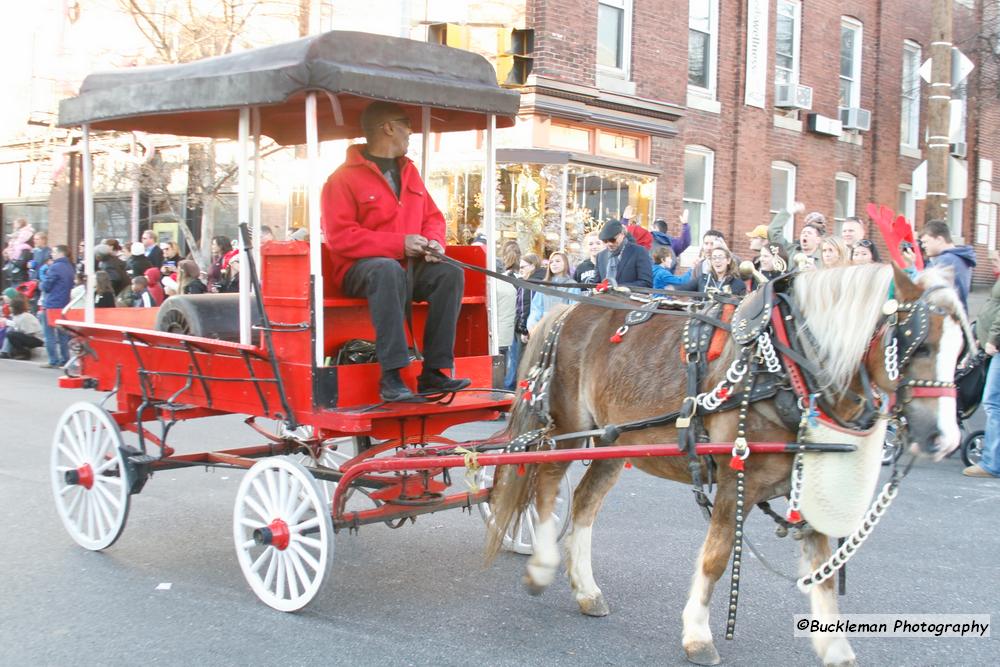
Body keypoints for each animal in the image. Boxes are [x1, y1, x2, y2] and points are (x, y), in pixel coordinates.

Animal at [488, 264, 972, 667]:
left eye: (961, 353)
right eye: (920, 345)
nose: (944, 439)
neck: (788, 367)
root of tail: (570, 310)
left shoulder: (808, 485)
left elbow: (824, 575)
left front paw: (835, 649)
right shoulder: (737, 479)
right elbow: (717, 558)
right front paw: (698, 634)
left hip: (617, 441)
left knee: (586, 503)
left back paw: (586, 589)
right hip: (568, 429)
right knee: (546, 490)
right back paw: (543, 565)